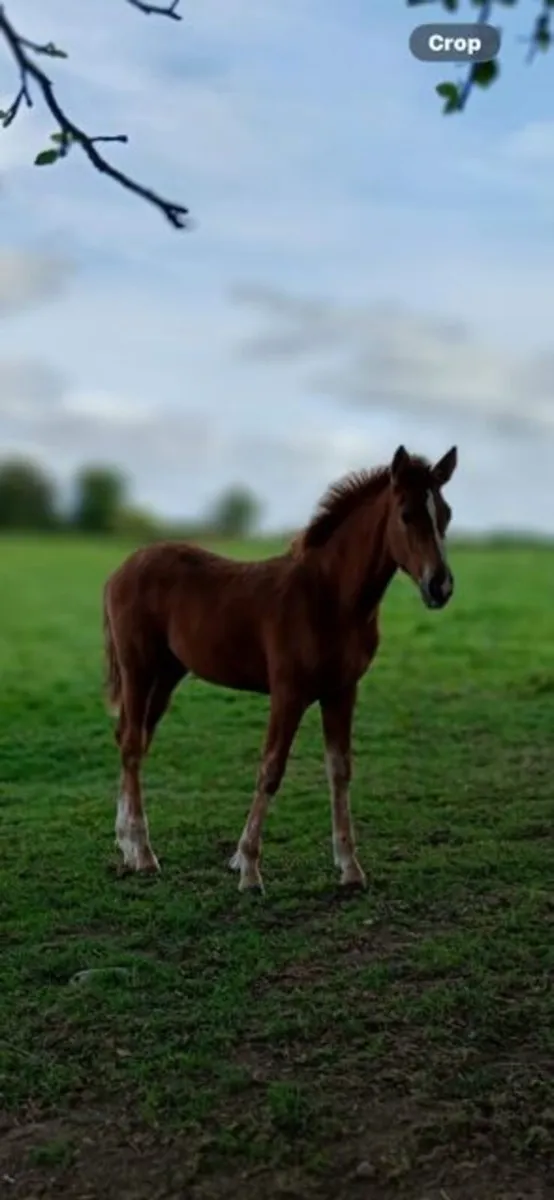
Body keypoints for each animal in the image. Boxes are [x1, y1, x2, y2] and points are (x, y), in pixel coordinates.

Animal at [103, 443, 458, 892]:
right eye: (407, 514)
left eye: (446, 514)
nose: (440, 586)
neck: (330, 597)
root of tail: (121, 570)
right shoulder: (288, 691)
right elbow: (271, 769)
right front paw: (249, 869)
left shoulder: (342, 690)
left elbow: (340, 769)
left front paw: (350, 868)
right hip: (139, 668)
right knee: (133, 743)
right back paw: (143, 854)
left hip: (167, 675)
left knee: (131, 739)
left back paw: (125, 844)